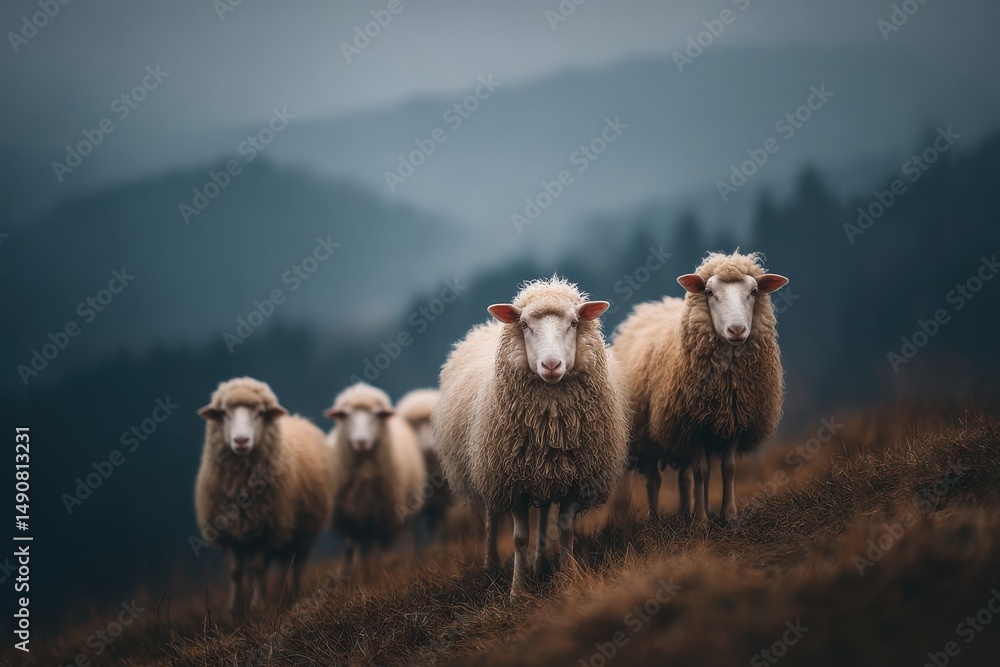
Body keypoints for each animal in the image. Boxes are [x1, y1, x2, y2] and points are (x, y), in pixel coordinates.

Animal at [195, 377, 334, 617]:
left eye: (260, 412)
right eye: (224, 413)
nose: (241, 440)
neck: (241, 486)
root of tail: (298, 418)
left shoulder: (268, 528)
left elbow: (260, 568)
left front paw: (258, 608)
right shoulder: (230, 533)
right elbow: (236, 572)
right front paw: (233, 611)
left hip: (302, 533)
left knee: (295, 564)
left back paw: (292, 596)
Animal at [324, 382, 427, 564]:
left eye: (377, 415)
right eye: (345, 415)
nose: (361, 442)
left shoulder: (385, 518)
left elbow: (380, 549)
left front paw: (379, 567)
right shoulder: (348, 520)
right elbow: (351, 550)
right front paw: (353, 570)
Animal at [434, 276, 630, 600]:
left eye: (574, 322)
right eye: (525, 325)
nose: (551, 365)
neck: (549, 427)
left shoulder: (574, 479)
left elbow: (564, 530)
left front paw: (568, 578)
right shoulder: (513, 481)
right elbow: (519, 538)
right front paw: (517, 592)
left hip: (545, 473)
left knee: (543, 514)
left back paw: (539, 565)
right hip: (489, 469)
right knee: (492, 518)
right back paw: (491, 567)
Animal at [612, 251, 788, 522]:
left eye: (754, 291)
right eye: (709, 292)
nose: (737, 329)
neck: (725, 384)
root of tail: (651, 307)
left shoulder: (733, 421)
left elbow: (727, 469)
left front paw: (728, 516)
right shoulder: (690, 424)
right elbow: (701, 471)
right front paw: (702, 522)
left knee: (685, 478)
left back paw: (687, 511)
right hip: (646, 436)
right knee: (655, 479)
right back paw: (656, 518)